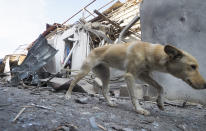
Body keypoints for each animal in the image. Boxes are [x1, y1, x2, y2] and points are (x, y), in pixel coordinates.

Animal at [65, 40, 206, 115]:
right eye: (193, 66)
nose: (205, 85)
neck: (148, 52)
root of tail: (93, 49)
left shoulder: (144, 75)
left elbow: (161, 87)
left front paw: (160, 103)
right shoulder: (130, 76)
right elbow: (134, 96)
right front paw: (139, 110)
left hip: (106, 74)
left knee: (104, 91)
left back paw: (110, 103)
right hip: (84, 71)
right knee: (73, 81)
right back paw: (67, 95)